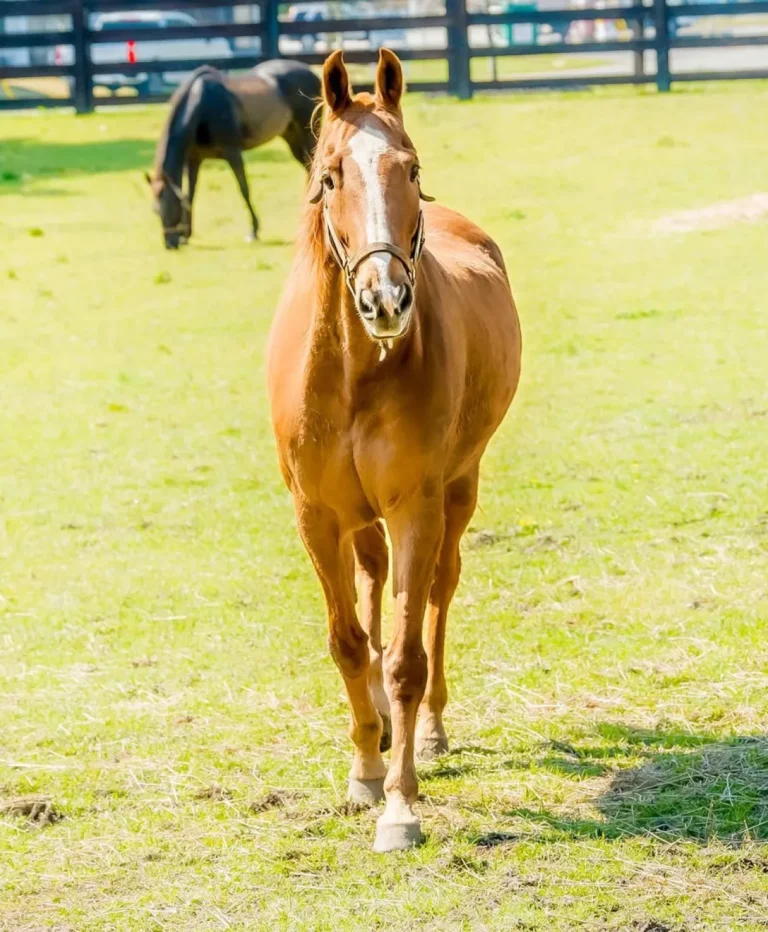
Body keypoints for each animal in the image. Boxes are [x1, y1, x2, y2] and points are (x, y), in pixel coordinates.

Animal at [145, 60, 320, 249]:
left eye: (169, 204)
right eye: (155, 209)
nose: (170, 243)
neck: (201, 105)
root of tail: (312, 72)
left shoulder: (233, 152)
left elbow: (244, 189)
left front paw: (253, 232)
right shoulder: (193, 159)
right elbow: (189, 195)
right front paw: (187, 235)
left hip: (310, 134)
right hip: (291, 135)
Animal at [266, 49, 522, 852]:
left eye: (410, 168)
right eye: (331, 176)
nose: (386, 300)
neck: (356, 368)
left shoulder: (416, 506)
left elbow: (408, 654)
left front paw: (402, 804)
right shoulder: (316, 516)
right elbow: (349, 641)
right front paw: (365, 771)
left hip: (457, 491)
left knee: (438, 593)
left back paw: (429, 730)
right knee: (374, 581)